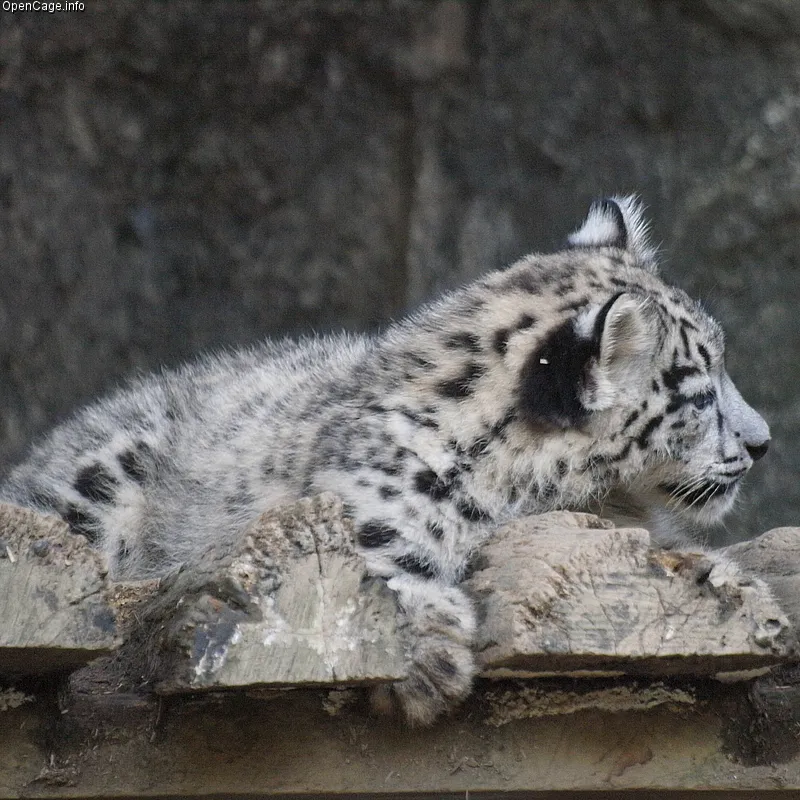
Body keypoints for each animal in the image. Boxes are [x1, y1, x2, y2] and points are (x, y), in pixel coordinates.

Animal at [0, 196, 770, 725]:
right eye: (702, 389)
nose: (761, 442)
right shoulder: (366, 498)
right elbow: (387, 552)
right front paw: (432, 660)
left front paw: (731, 587)